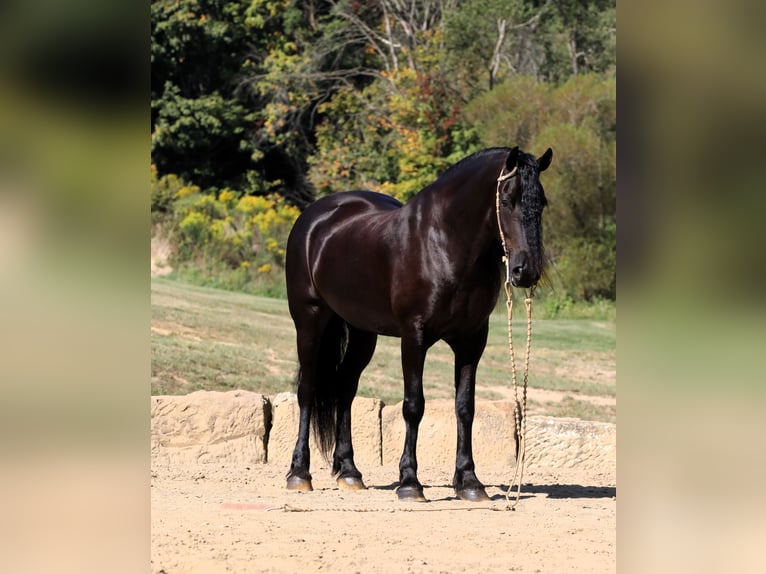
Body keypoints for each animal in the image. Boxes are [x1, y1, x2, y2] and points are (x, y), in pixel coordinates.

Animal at [284, 146, 548, 502]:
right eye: (507, 199)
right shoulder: (414, 336)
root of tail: (313, 217)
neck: (445, 243)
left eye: (542, 202)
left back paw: (350, 472)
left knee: (345, 388)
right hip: (309, 320)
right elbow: (414, 405)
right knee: (308, 390)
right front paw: (410, 482)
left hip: (362, 332)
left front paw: (469, 482)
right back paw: (299, 473)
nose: (526, 270)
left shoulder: (472, 340)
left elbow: (465, 407)